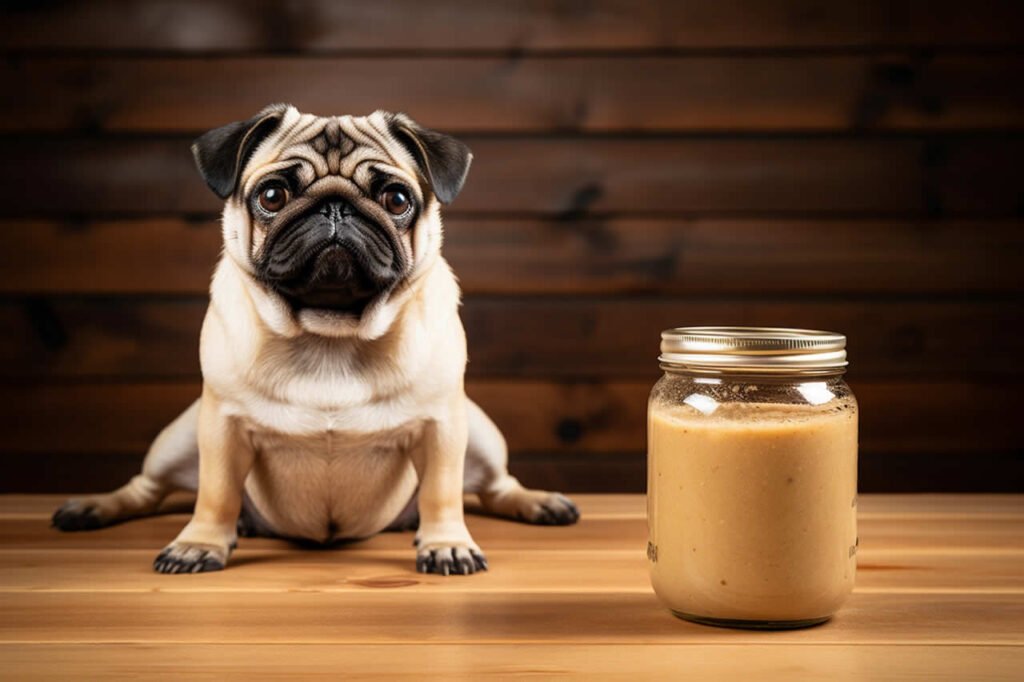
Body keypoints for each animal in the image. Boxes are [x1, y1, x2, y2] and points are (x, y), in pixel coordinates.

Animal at [51, 104, 581, 573]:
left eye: (396, 199)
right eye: (272, 196)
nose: (335, 207)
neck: (331, 332)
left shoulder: (443, 425)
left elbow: (443, 493)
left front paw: (447, 545)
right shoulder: (221, 425)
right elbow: (215, 493)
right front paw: (198, 545)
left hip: (481, 431)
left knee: (495, 486)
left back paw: (541, 503)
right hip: (179, 437)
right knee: (145, 487)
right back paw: (92, 508)